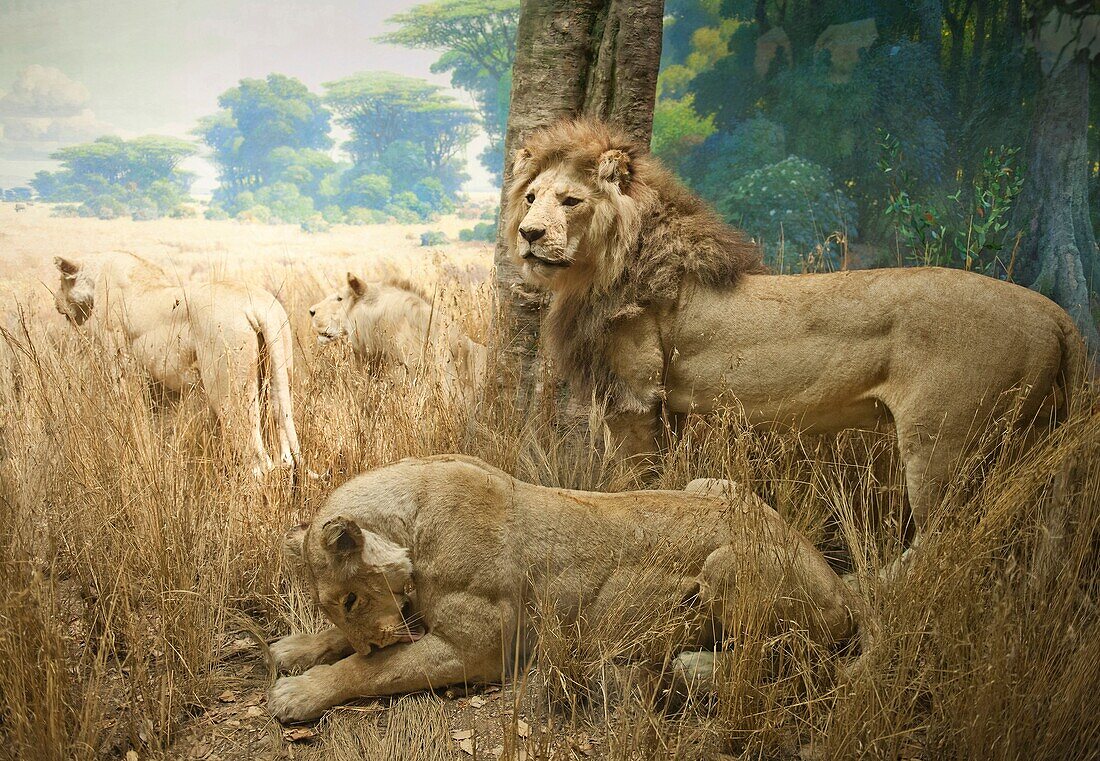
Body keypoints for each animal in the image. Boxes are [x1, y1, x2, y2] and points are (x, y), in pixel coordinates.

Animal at [54, 252, 303, 472]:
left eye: (60, 281)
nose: (56, 302)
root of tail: (261, 306)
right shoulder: (162, 388)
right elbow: (163, 427)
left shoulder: (121, 369)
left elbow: (134, 421)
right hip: (278, 378)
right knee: (284, 457)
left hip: (229, 391)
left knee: (257, 462)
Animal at [264, 455, 866, 721]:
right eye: (335, 607)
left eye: (350, 599)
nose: (368, 638)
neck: (412, 516)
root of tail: (838, 583)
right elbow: (356, 649)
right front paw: (295, 649)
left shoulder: (479, 650)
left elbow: (372, 670)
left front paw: (299, 693)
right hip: (712, 484)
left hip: (727, 564)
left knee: (798, 665)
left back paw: (684, 667)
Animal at [503, 120, 1082, 558]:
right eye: (529, 198)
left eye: (570, 200)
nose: (528, 235)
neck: (596, 271)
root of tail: (1055, 312)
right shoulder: (667, 408)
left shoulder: (635, 400)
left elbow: (631, 482)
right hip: (1025, 438)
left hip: (943, 441)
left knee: (947, 540)